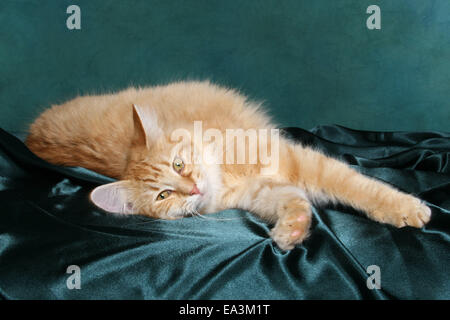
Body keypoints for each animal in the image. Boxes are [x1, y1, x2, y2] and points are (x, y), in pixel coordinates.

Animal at [25, 80, 432, 250]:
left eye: (179, 164)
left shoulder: (301, 162)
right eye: (163, 196)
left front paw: (406, 208)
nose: (192, 188)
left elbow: (362, 187)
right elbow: (294, 203)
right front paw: (292, 231)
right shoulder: (264, 194)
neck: (227, 173)